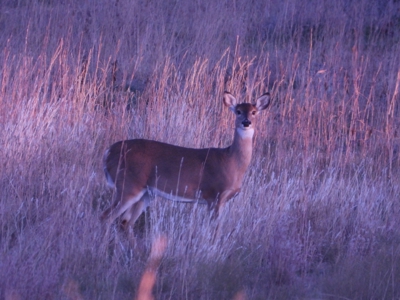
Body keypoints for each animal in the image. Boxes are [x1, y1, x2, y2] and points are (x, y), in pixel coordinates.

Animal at [101, 90, 270, 229]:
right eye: (238, 111)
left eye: (254, 112)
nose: (246, 122)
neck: (231, 162)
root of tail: (108, 152)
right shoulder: (214, 195)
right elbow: (214, 231)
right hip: (129, 184)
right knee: (107, 217)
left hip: (146, 192)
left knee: (125, 222)